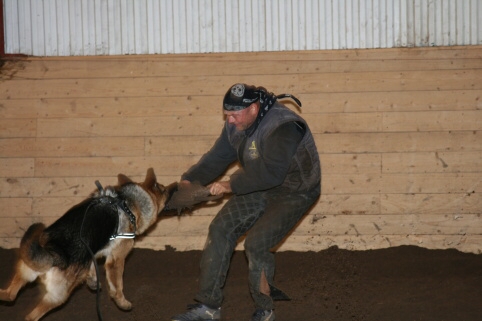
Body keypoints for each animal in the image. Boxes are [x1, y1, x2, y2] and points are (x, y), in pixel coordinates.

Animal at [0, 168, 174, 320]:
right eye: (163, 189)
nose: (174, 187)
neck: (126, 202)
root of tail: (53, 254)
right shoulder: (116, 259)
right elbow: (117, 286)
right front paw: (122, 303)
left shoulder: (93, 250)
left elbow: (92, 265)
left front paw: (92, 281)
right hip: (59, 296)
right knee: (30, 316)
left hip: (26, 272)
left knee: (9, 295)